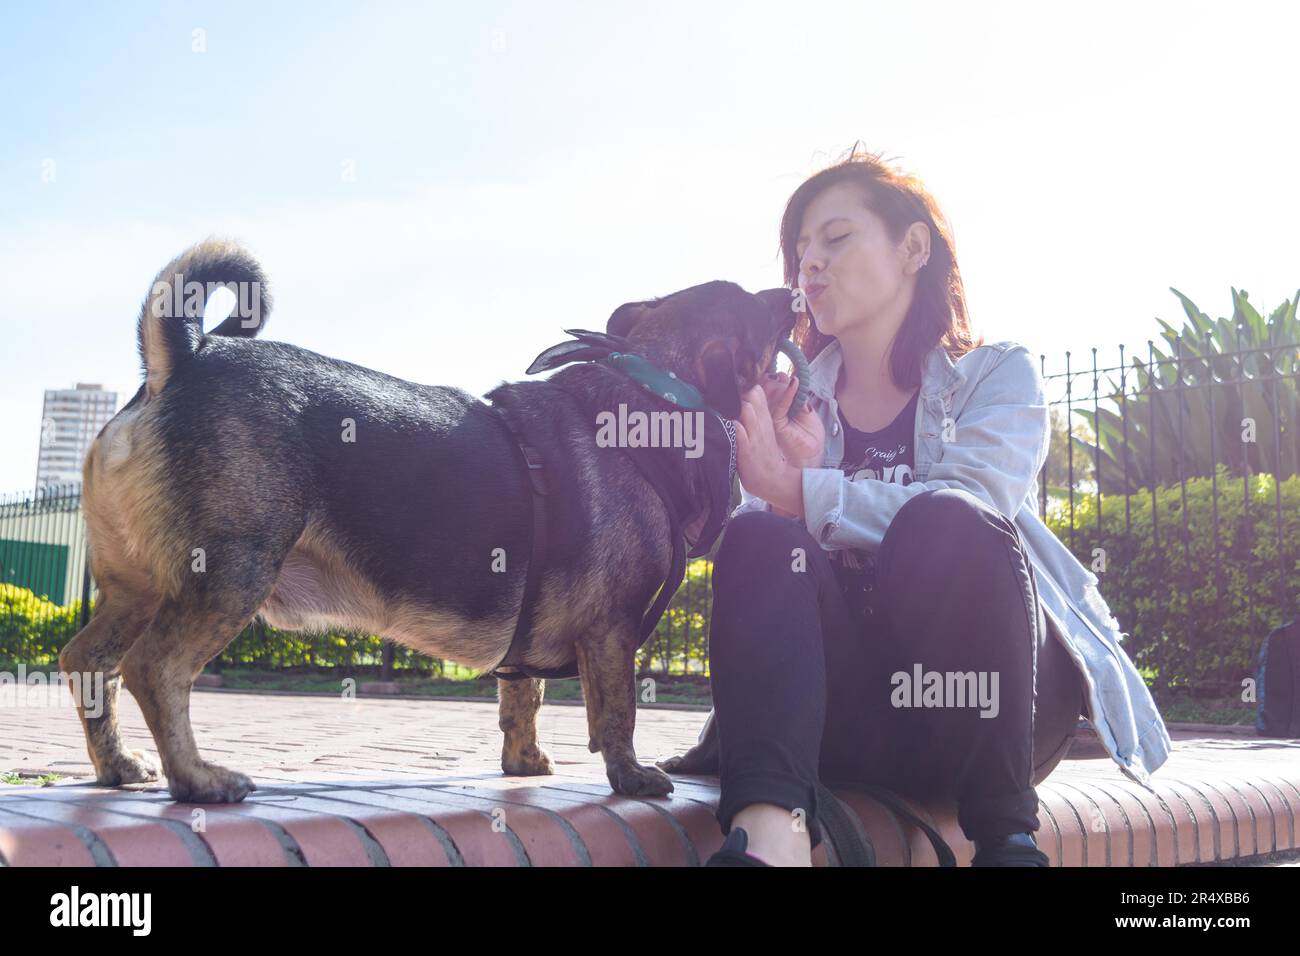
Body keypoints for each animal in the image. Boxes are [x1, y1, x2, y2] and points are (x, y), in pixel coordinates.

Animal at [61, 238, 795, 801]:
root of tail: (182, 359)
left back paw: (117, 766)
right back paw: (198, 779)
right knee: (156, 669)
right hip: (232, 574)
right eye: (757, 312)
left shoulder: (532, 640)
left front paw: (524, 764)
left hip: (135, 590)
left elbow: (521, 698)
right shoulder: (611, 631)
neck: (651, 391)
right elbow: (617, 712)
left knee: (88, 661)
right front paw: (632, 776)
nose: (790, 295)